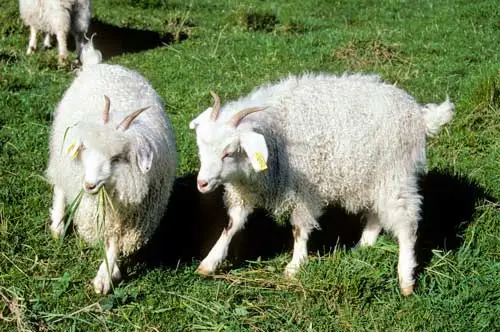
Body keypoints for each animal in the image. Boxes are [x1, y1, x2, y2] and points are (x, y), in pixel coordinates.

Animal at [45, 41, 178, 294]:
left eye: (117, 158)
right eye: (86, 149)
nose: (88, 185)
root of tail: (98, 65)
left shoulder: (131, 216)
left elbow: (115, 242)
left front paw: (108, 273)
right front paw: (105, 276)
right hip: (61, 152)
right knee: (59, 184)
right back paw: (57, 225)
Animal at [189, 73, 456, 296]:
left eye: (229, 152)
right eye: (201, 147)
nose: (202, 184)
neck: (273, 135)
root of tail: (418, 113)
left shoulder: (304, 189)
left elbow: (299, 228)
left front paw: (294, 266)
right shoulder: (246, 191)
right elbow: (231, 225)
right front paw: (209, 263)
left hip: (394, 174)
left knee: (407, 223)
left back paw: (406, 279)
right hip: (371, 176)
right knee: (376, 213)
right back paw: (364, 245)